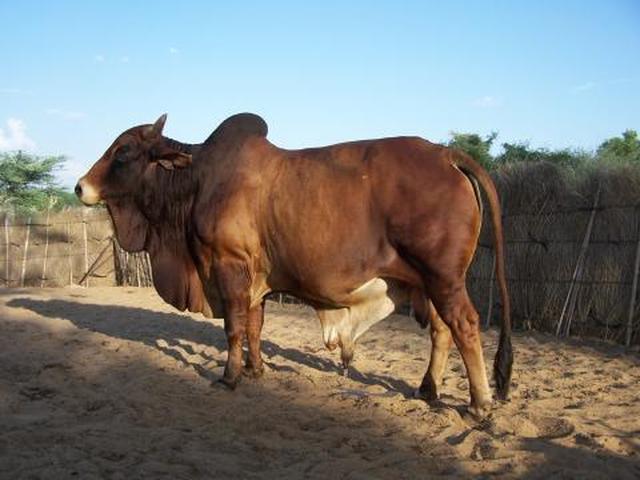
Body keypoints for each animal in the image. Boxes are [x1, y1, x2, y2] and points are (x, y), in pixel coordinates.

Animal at [76, 113, 512, 417]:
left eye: (123, 151)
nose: (80, 186)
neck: (194, 182)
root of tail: (443, 152)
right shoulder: (255, 280)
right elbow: (254, 326)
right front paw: (255, 370)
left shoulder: (229, 267)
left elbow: (234, 327)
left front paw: (229, 377)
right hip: (429, 282)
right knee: (441, 330)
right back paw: (428, 389)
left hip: (444, 278)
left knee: (465, 325)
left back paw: (479, 405)